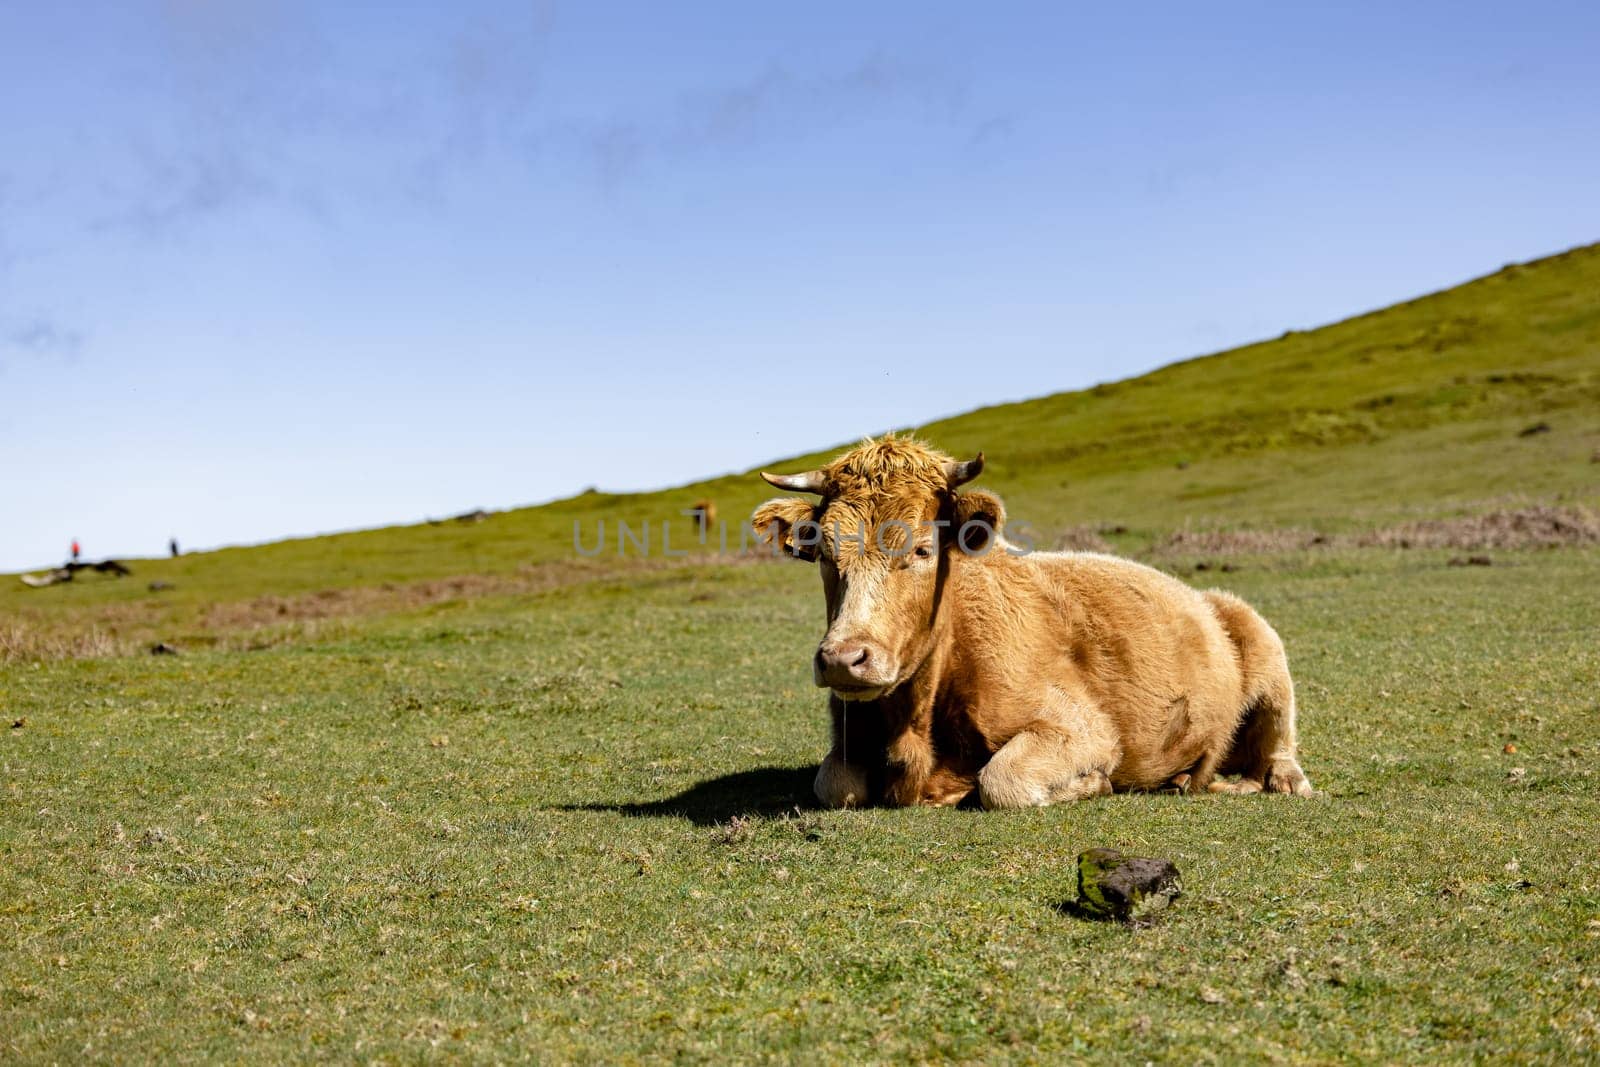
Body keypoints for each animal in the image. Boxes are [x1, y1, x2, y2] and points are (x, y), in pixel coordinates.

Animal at [748, 435, 1312, 809]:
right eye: (823, 552)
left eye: (924, 548)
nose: (845, 659)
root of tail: (1204, 596)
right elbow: (834, 784)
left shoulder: (1084, 729)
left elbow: (1003, 781)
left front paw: (1093, 784)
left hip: (1266, 650)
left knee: (1279, 743)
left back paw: (1268, 781)